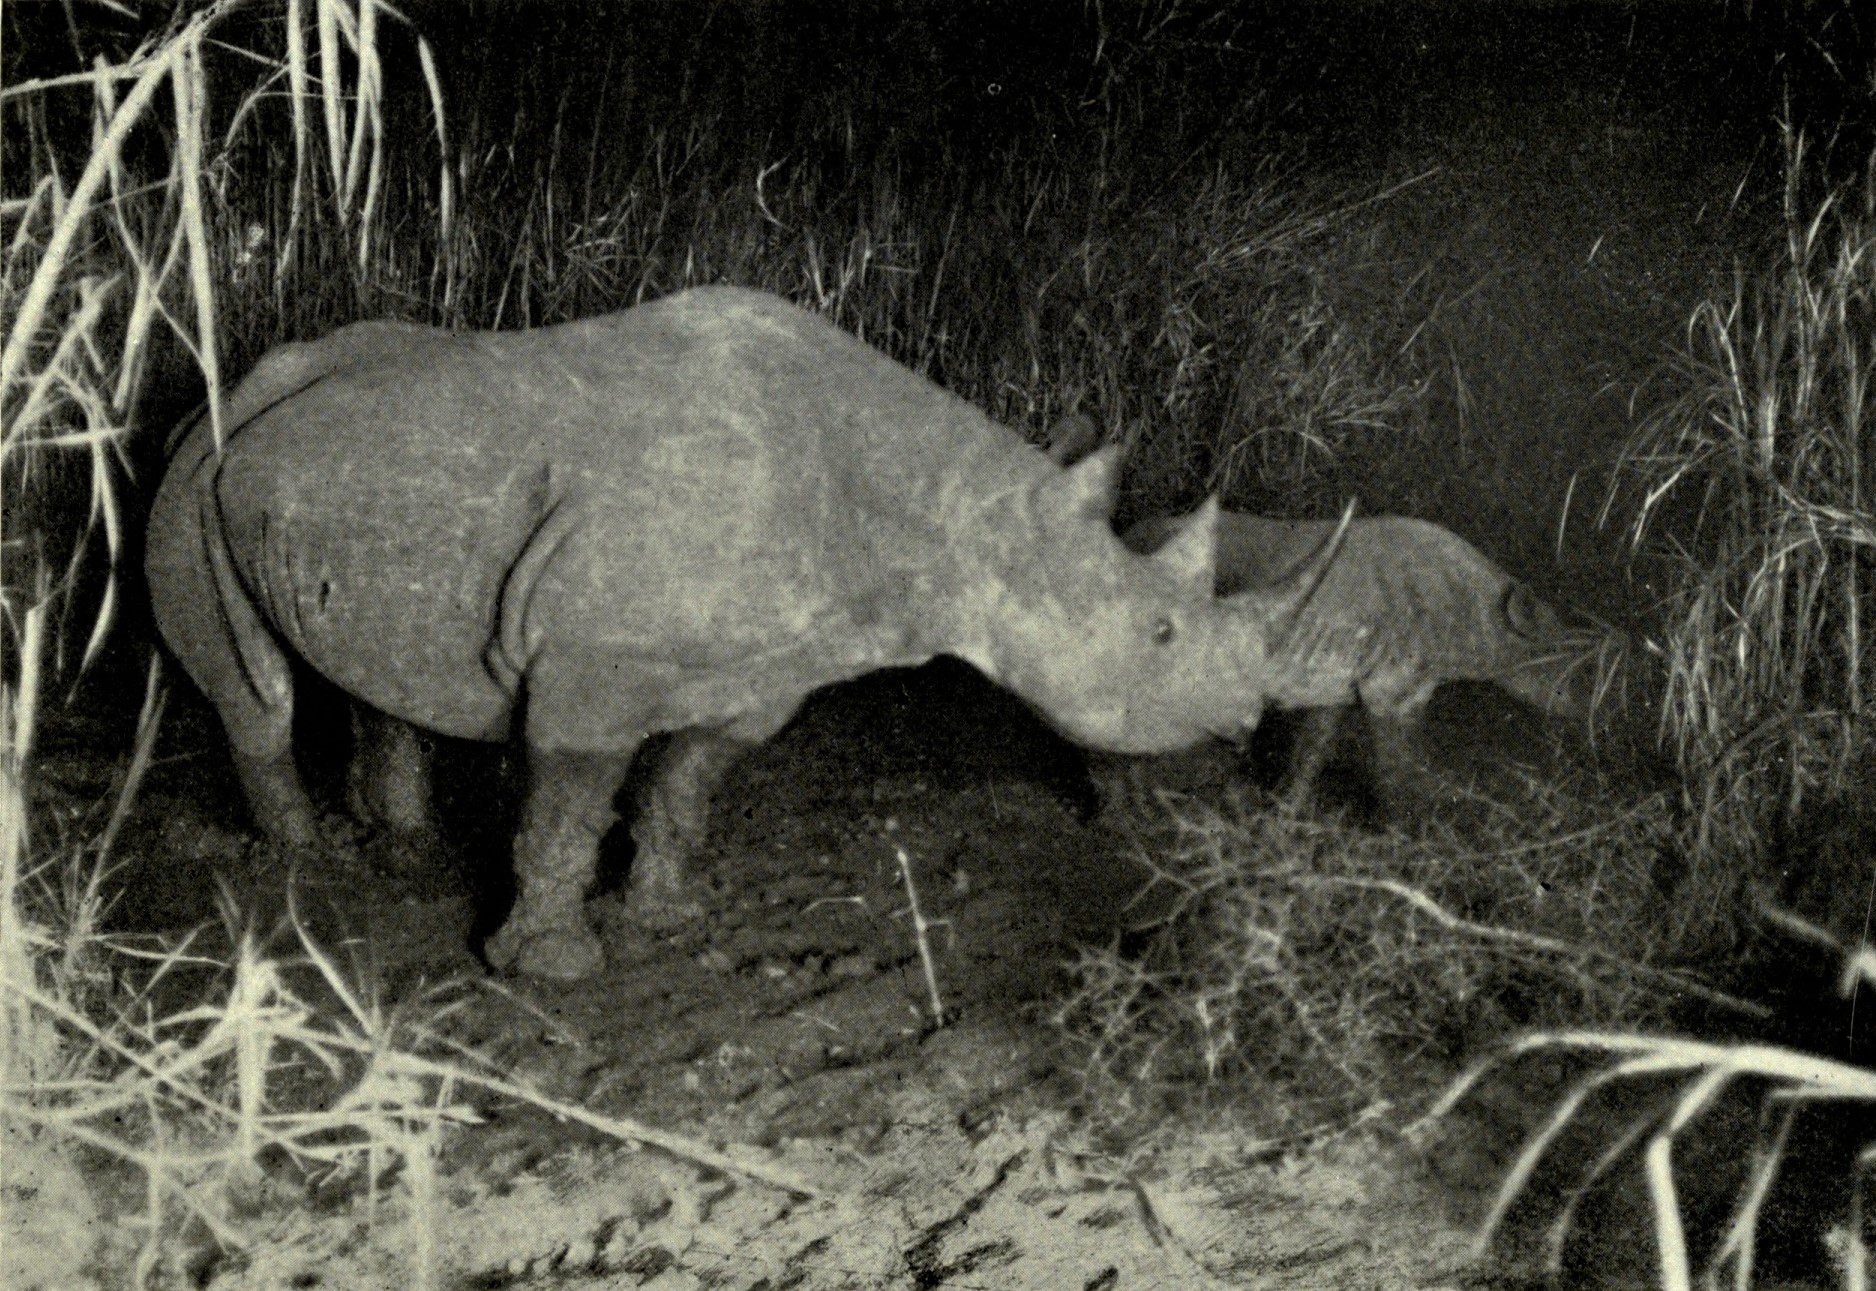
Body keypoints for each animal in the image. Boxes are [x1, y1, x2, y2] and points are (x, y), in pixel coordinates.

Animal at [146, 286, 1343, 980]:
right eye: (1160, 633)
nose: (1246, 720)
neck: (959, 516)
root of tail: (234, 387)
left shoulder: (771, 663)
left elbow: (689, 781)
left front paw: (667, 918)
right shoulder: (596, 662)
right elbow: (569, 799)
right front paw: (552, 967)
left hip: (344, 475)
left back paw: (396, 845)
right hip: (196, 467)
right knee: (252, 684)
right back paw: (302, 870)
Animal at [1123, 510, 1603, 813]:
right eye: (1568, 663)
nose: (1597, 712)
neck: (1469, 613)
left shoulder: (1336, 690)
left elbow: (1310, 755)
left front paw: (1285, 817)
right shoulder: (1393, 690)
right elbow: (1402, 776)